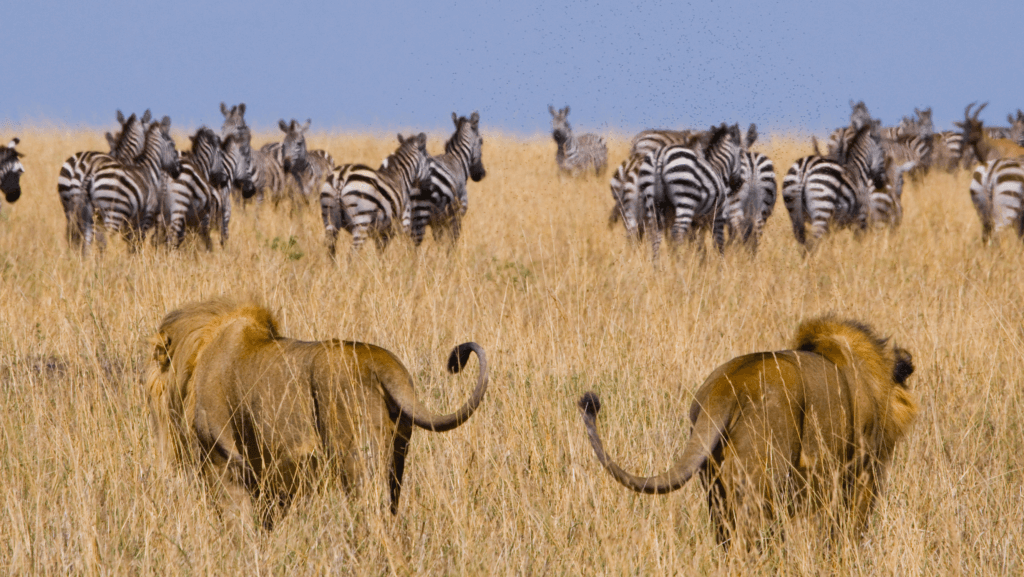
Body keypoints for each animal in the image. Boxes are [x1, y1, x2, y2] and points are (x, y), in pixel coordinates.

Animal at [84, 116, 181, 252]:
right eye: (173, 145)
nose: (179, 171)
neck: (150, 169)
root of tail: (92, 179)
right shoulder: (147, 213)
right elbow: (139, 240)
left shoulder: (133, 220)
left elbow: (133, 241)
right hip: (114, 213)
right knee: (106, 239)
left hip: (91, 214)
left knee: (88, 241)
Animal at [409, 111, 486, 246]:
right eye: (481, 141)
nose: (480, 174)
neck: (457, 160)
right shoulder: (456, 215)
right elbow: (452, 243)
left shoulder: (438, 222)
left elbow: (440, 242)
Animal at [636, 123, 743, 260]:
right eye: (740, 153)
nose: (739, 184)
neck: (717, 169)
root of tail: (661, 155)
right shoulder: (719, 216)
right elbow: (718, 243)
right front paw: (720, 263)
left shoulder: (696, 223)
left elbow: (698, 245)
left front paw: (699, 261)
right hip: (685, 198)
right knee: (677, 231)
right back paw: (678, 262)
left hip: (651, 201)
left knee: (654, 232)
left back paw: (657, 263)